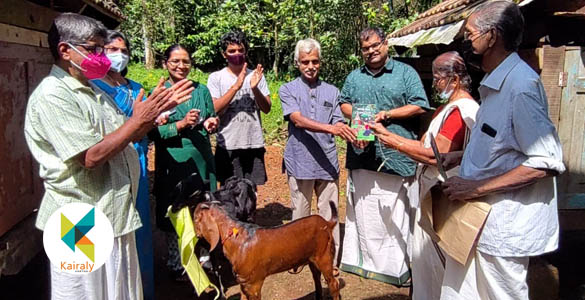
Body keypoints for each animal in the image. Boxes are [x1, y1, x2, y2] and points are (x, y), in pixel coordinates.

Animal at [193, 202, 338, 300]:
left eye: (194, 218)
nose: (193, 235)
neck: (237, 239)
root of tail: (327, 223)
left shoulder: (254, 285)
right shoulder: (243, 284)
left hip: (324, 257)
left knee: (333, 284)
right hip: (312, 260)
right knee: (317, 280)